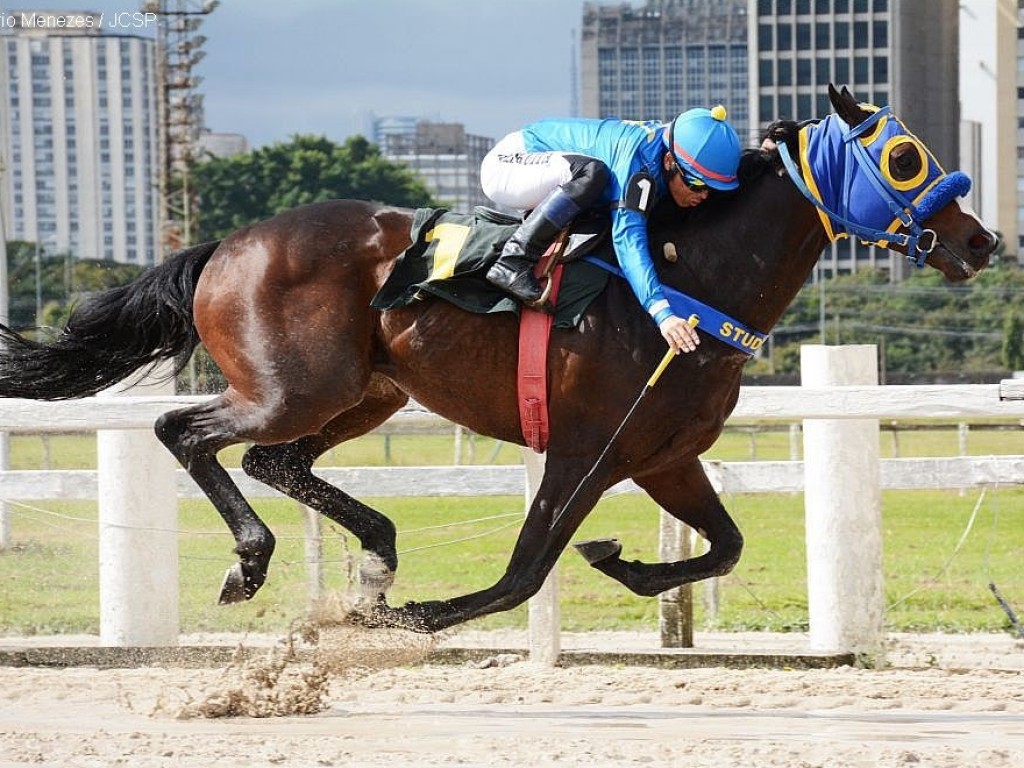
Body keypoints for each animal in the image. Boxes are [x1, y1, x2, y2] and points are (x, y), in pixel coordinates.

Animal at [0, 87, 995, 634]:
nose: (981, 240)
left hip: (366, 395)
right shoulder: (585, 450)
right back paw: (254, 562)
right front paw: (407, 619)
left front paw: (625, 566)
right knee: (188, 430)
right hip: (294, 387)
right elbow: (523, 574)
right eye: (905, 157)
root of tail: (224, 246)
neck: (690, 277)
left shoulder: (664, 459)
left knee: (273, 461)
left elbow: (725, 547)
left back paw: (375, 550)